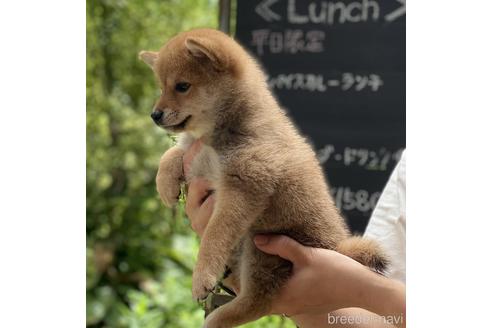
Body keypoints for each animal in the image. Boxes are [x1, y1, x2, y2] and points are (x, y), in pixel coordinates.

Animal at [139, 28, 388, 328]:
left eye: (182, 86)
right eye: (161, 88)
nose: (154, 115)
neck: (221, 133)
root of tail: (336, 246)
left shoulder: (245, 186)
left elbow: (213, 235)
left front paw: (201, 276)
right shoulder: (198, 159)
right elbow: (173, 153)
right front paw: (165, 186)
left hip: (262, 247)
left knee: (259, 300)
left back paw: (217, 318)